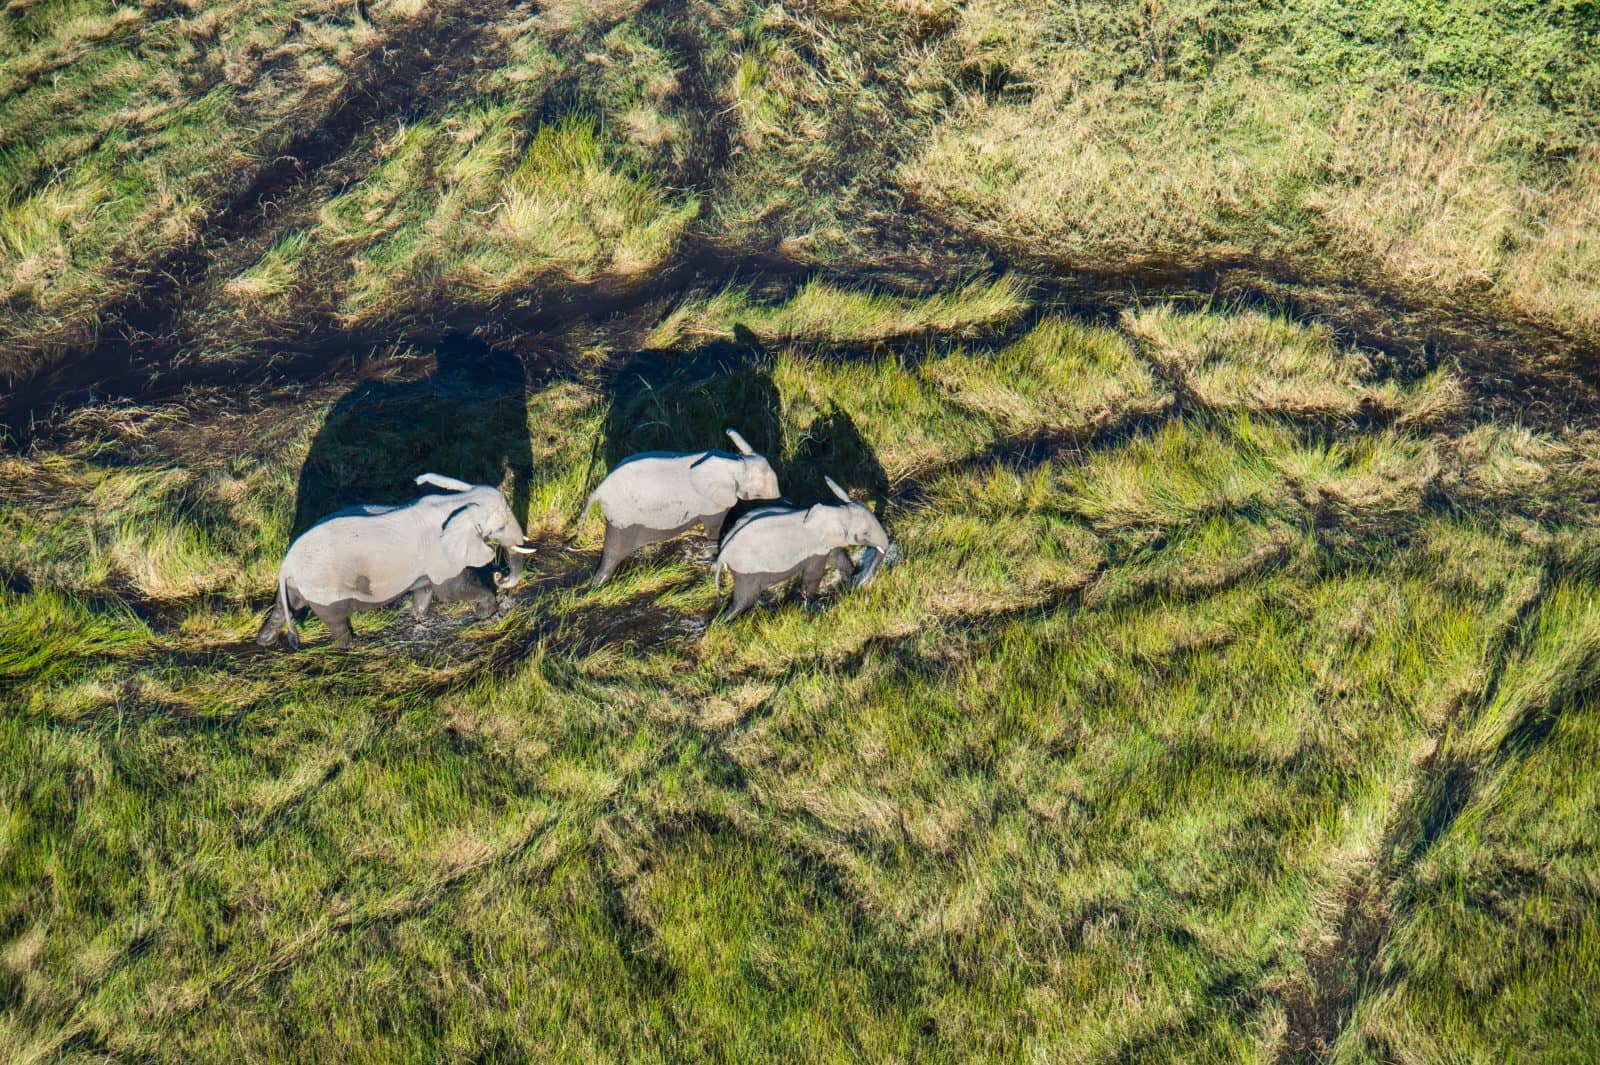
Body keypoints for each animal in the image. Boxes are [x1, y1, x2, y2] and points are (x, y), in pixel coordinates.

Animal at [256, 473, 536, 649]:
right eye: (500, 527)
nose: (500, 575)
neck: (458, 502)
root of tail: (285, 565)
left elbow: (425, 588)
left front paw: (420, 619)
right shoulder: (440, 552)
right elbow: (450, 590)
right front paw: (488, 613)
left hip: (299, 584)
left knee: (286, 605)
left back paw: (264, 641)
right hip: (323, 585)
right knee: (334, 618)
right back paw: (351, 645)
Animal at [578, 428, 782, 587]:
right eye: (757, 493)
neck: (735, 461)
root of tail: (597, 492)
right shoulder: (712, 502)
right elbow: (715, 527)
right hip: (621, 514)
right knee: (614, 551)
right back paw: (598, 585)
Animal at [713, 476, 890, 619]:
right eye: (865, 533)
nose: (860, 583)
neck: (836, 511)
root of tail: (722, 555)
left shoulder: (827, 543)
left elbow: (837, 557)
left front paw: (849, 578)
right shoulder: (815, 550)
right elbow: (813, 575)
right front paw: (812, 605)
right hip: (747, 572)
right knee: (746, 598)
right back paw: (724, 622)